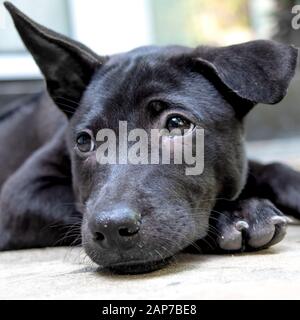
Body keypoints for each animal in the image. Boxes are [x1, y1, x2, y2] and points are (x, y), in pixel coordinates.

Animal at [0, 1, 300, 274]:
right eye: (83, 141)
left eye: (177, 123)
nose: (111, 228)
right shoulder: (20, 193)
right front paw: (234, 214)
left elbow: (269, 168)